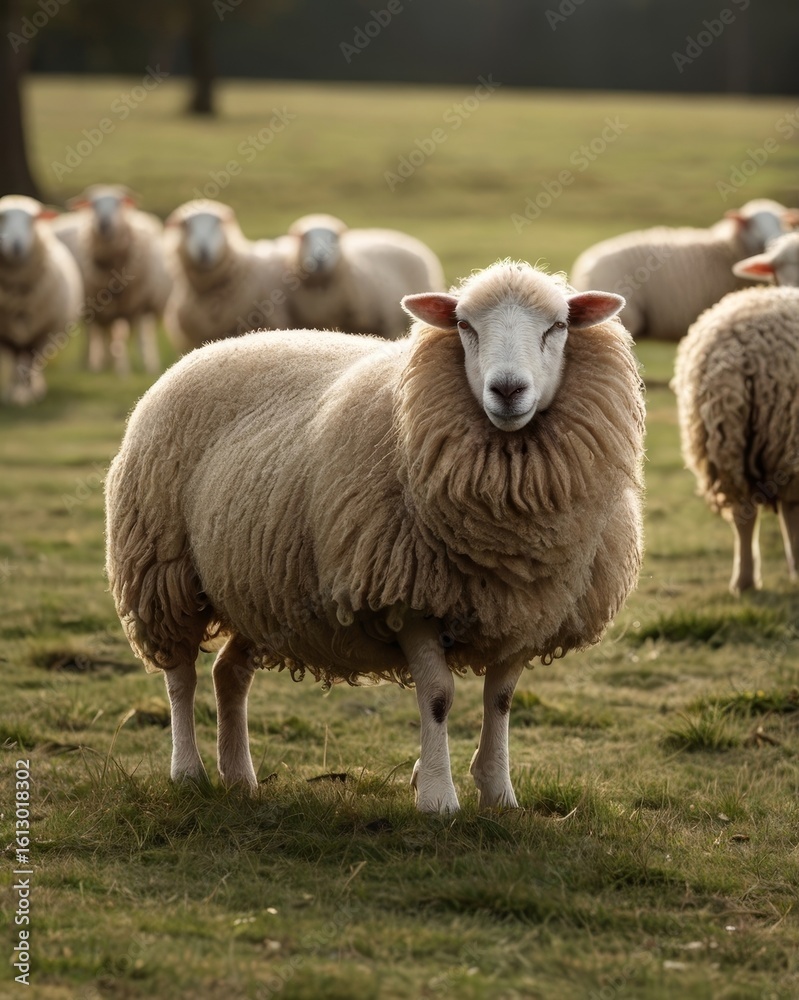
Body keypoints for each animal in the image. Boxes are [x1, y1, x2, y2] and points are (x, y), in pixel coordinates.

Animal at [0, 195, 83, 405]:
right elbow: (14, 365)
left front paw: (31, 394)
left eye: (32, 220)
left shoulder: (44, 331)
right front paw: (14, 394)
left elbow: (32, 363)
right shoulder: (5, 335)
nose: (16, 245)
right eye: (2, 218)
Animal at [51, 184, 171, 375]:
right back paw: (94, 362)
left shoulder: (136, 305)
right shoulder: (100, 307)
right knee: (96, 335)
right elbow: (109, 336)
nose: (104, 224)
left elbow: (132, 338)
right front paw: (116, 367)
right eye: (93, 204)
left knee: (143, 334)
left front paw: (131, 369)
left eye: (118, 202)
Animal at [105, 260, 645, 814]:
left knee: (228, 673)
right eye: (464, 326)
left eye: (557, 327)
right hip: (160, 568)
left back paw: (239, 778)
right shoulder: (405, 599)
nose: (508, 390)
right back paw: (188, 772)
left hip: (258, 590)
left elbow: (501, 699)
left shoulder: (532, 605)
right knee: (181, 674)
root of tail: (217, 345)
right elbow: (438, 696)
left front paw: (499, 794)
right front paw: (438, 797)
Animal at [673, 242, 799, 593]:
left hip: (720, 437)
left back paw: (743, 581)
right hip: (785, 434)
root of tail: (734, 353)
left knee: (743, 510)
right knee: (789, 506)